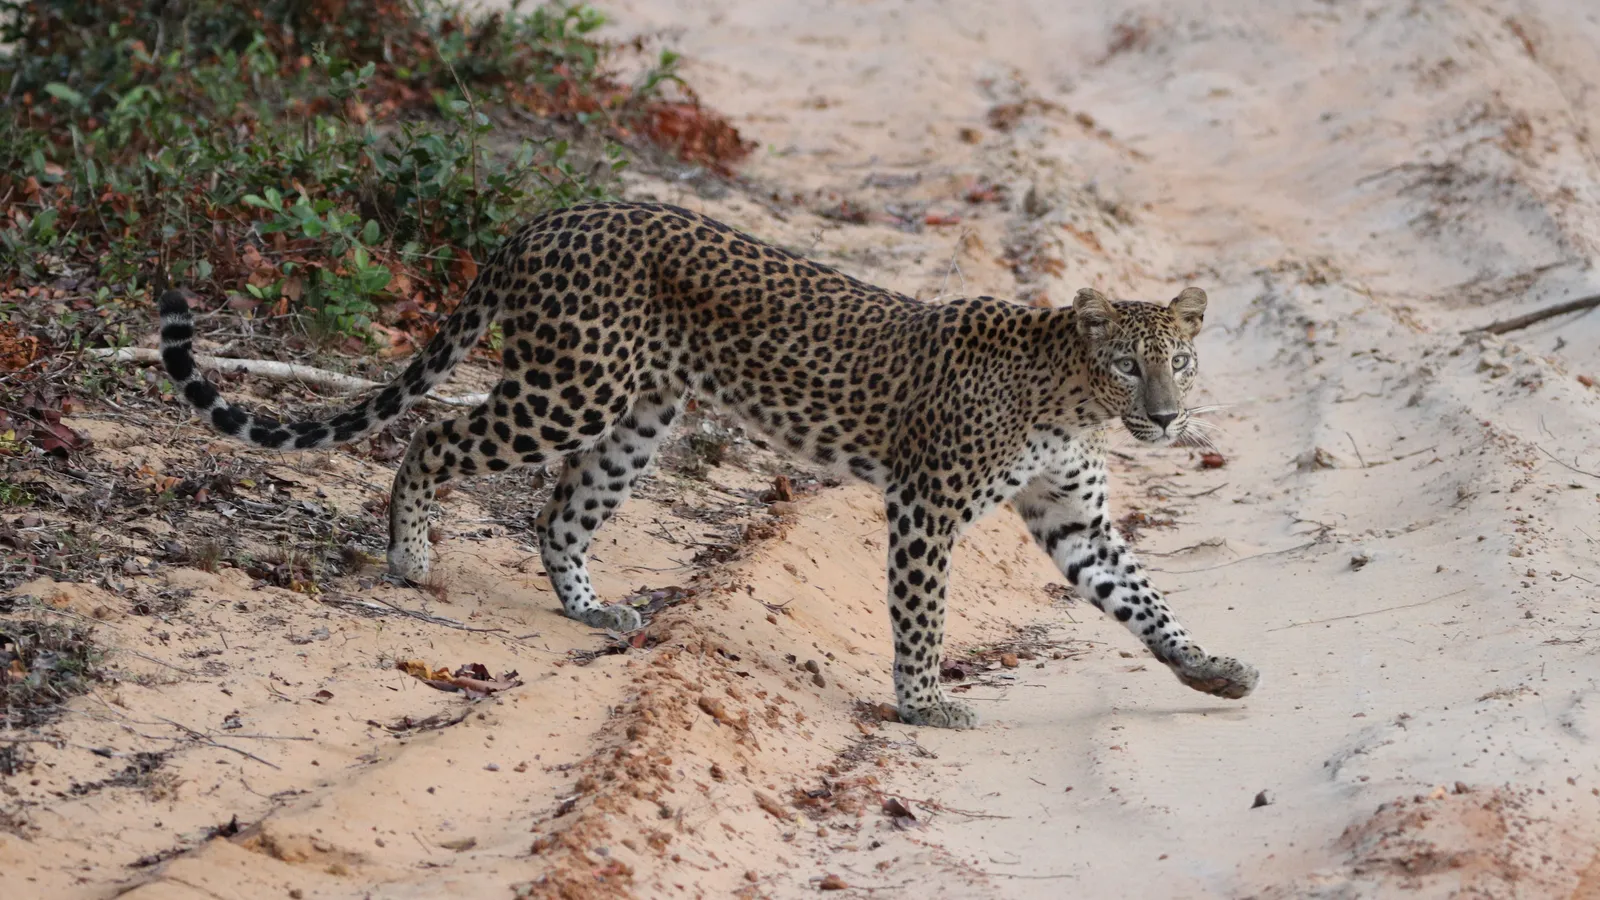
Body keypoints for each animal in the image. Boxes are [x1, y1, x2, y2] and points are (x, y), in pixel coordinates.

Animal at [156, 200, 1259, 728]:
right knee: (434, 438)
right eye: (1126, 365)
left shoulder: (1074, 517)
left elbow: (1141, 599)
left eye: (1179, 361)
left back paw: (591, 608)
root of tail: (542, 219)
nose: (1165, 419)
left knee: (559, 511)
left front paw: (1208, 669)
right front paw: (925, 703)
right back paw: (411, 557)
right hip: (570, 388)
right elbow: (922, 614)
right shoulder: (927, 505)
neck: (1071, 400)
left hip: (639, 414)